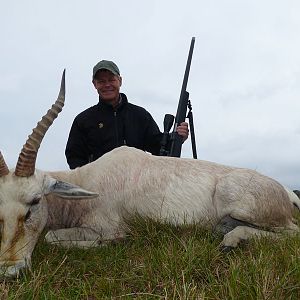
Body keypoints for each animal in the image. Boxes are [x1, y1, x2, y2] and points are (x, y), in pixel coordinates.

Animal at [0, 71, 300, 278]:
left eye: (34, 203)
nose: (10, 270)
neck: (86, 182)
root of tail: (286, 191)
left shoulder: (107, 226)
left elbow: (53, 238)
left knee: (292, 232)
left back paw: (232, 241)